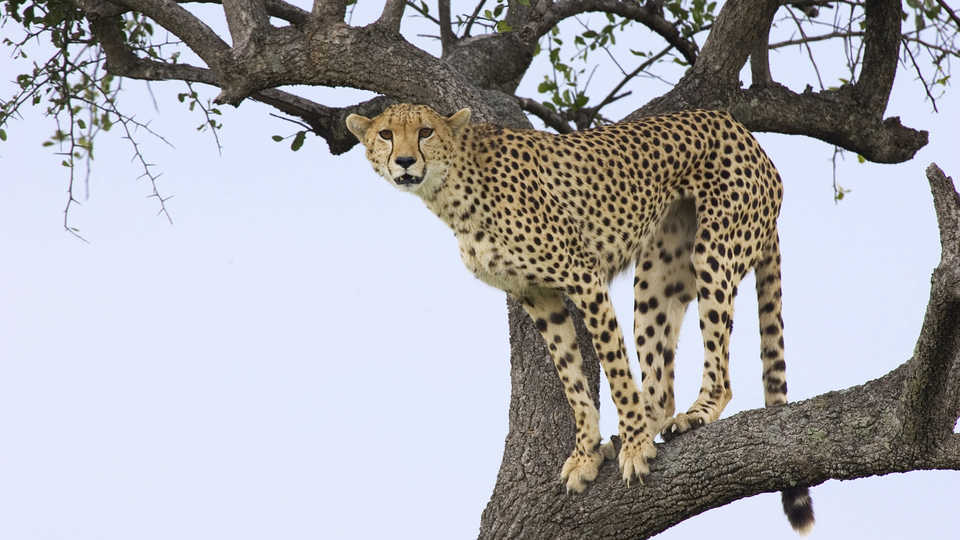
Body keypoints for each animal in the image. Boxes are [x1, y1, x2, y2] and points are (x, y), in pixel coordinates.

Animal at [346, 102, 816, 532]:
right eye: (386, 134)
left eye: (425, 131)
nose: (405, 161)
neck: (453, 186)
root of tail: (741, 130)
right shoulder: (537, 296)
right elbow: (572, 378)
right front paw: (587, 454)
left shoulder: (584, 277)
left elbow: (616, 373)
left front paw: (635, 447)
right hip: (656, 275)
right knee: (660, 384)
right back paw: (643, 426)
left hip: (715, 251)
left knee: (718, 367)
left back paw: (696, 413)